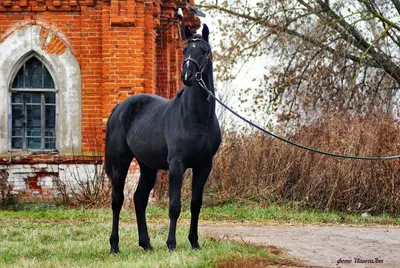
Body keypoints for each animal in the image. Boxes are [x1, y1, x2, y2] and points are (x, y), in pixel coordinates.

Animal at [104, 24, 222, 252]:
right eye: (185, 50)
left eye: (204, 51)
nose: (187, 76)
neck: (197, 118)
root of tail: (120, 107)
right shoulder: (177, 164)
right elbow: (174, 205)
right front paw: (172, 244)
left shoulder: (204, 165)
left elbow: (196, 204)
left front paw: (194, 243)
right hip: (120, 161)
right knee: (117, 200)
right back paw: (114, 246)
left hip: (148, 166)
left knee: (139, 199)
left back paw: (146, 244)